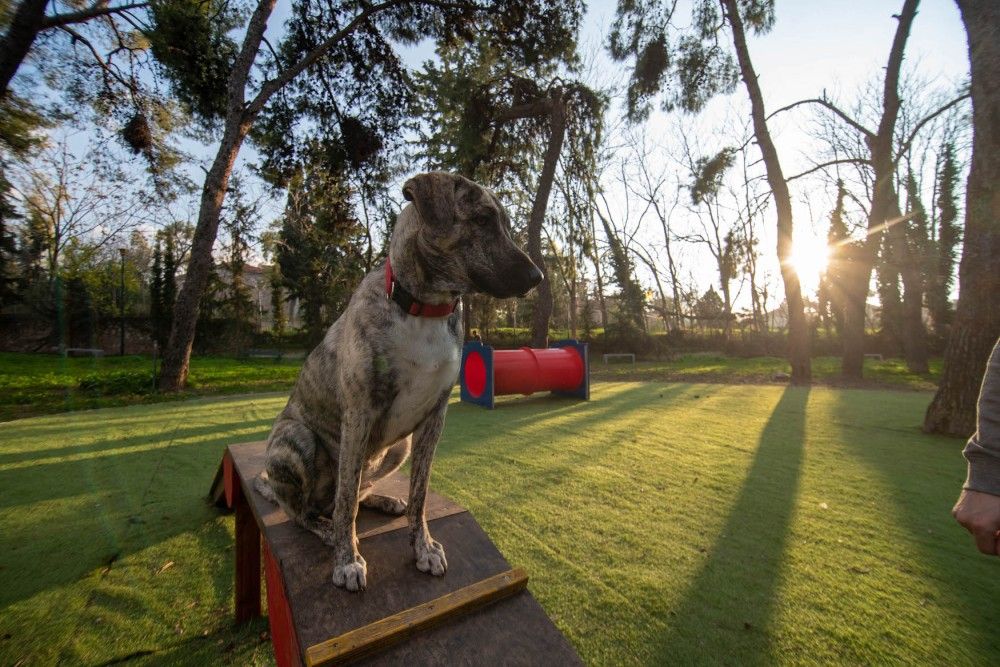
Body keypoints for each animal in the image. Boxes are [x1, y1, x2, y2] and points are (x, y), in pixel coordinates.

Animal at [254, 171, 544, 588]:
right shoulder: (359, 414)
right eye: (482, 219)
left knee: (355, 492)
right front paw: (347, 559)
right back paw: (326, 529)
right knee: (308, 510)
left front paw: (423, 547)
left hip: (398, 447)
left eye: (503, 222)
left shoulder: (433, 420)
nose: (538, 276)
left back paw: (384, 500)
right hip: (297, 439)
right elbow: (346, 505)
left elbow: (419, 495)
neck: (425, 309)